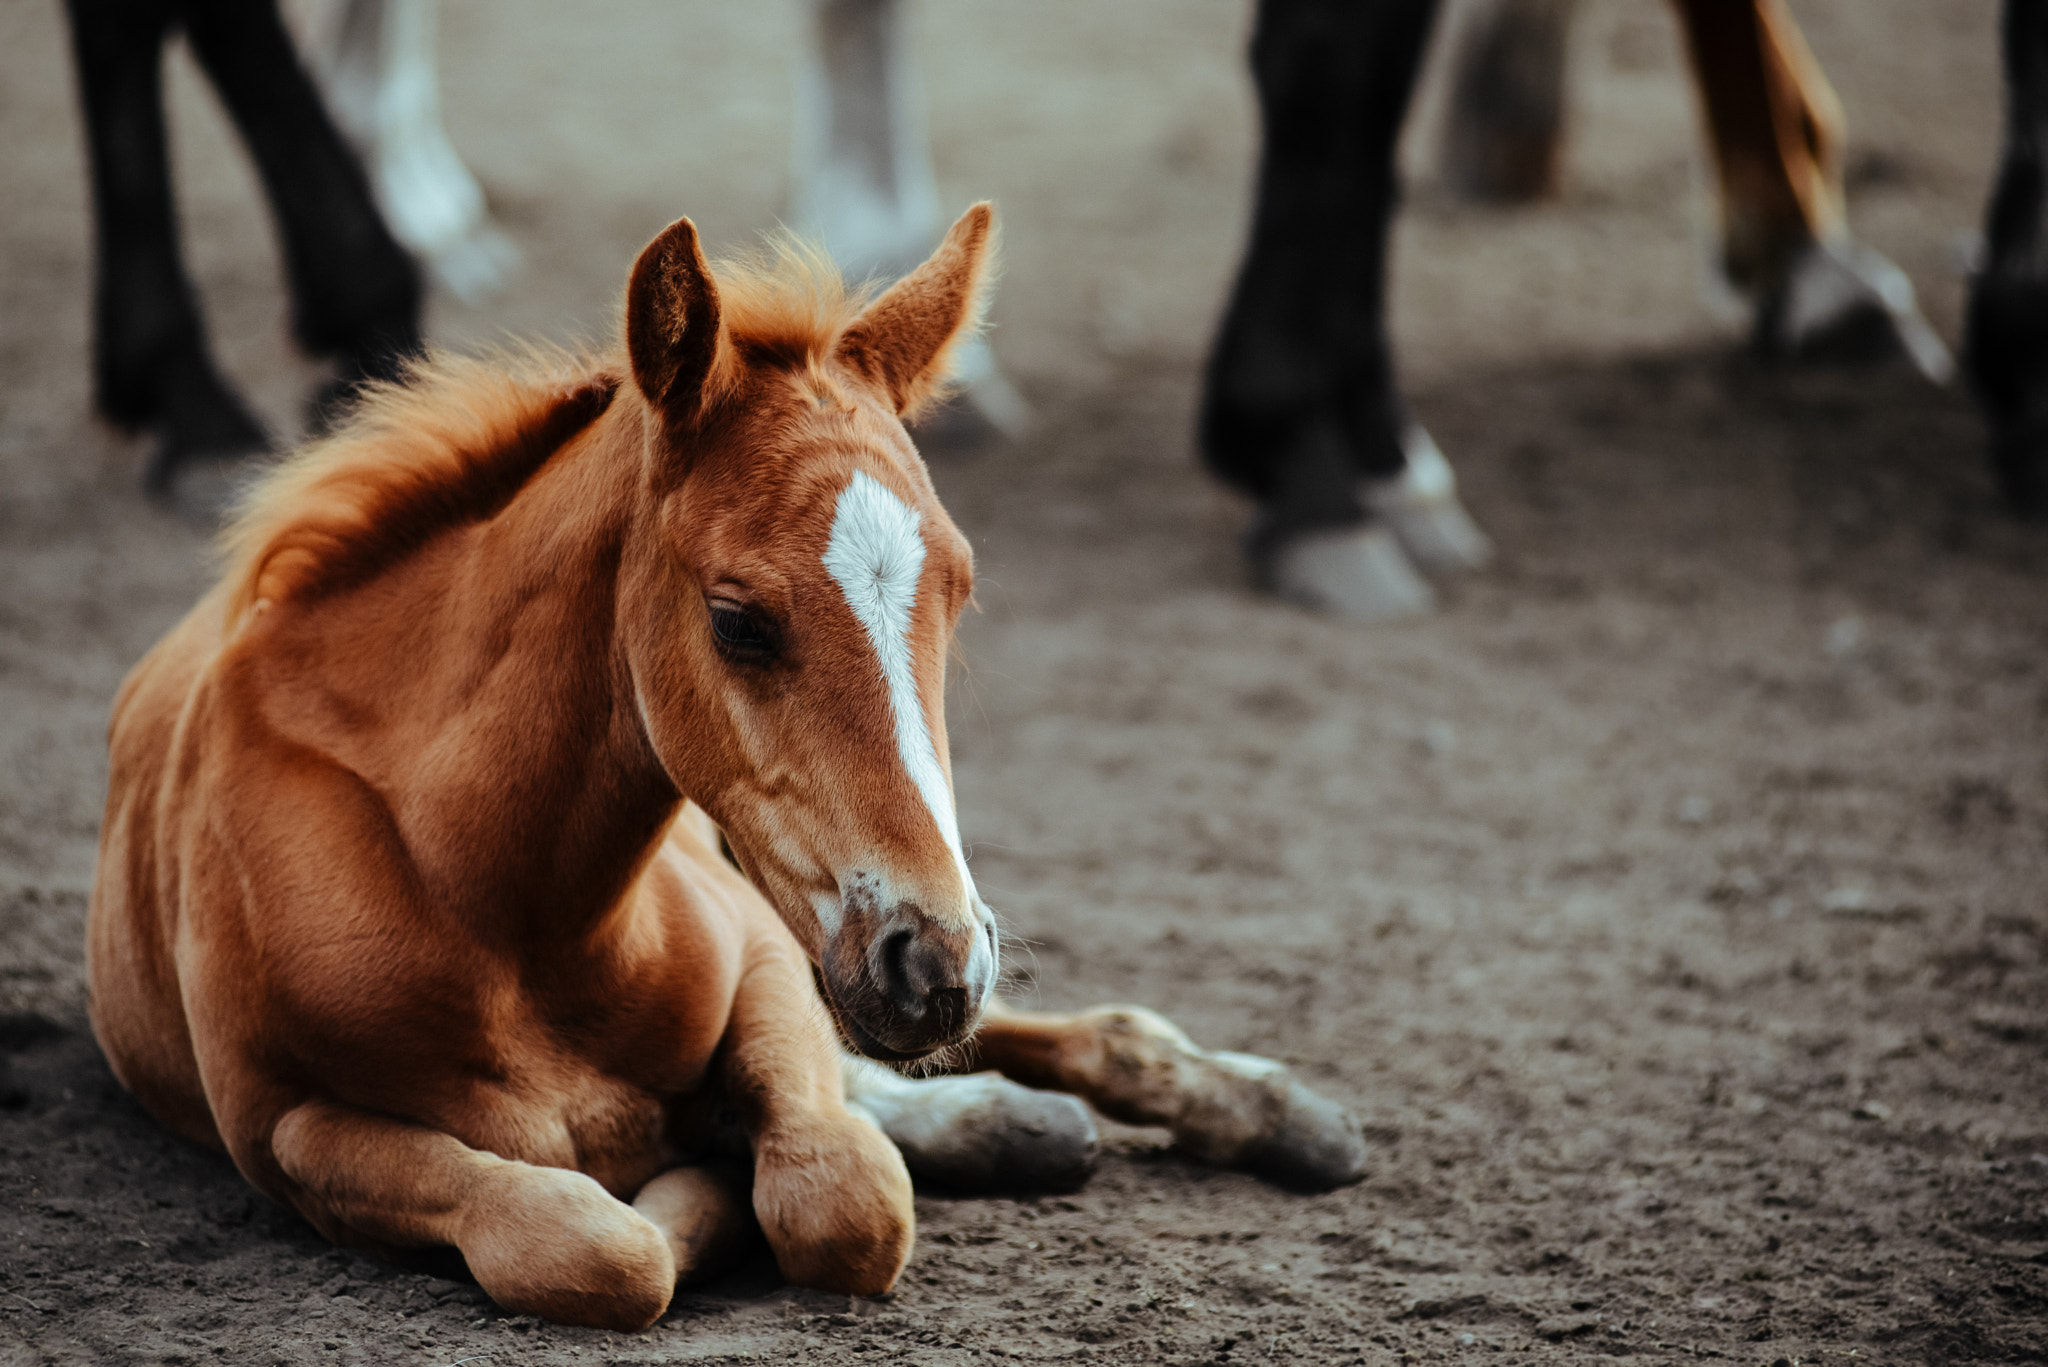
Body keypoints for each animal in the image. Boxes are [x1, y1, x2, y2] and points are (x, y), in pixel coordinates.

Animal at [88, 209, 1368, 1328]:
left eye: (958, 591)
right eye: (738, 619)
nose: (935, 960)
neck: (500, 905)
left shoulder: (765, 959)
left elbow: (840, 1196)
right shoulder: (286, 1128)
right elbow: (595, 1241)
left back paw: (1270, 1111)